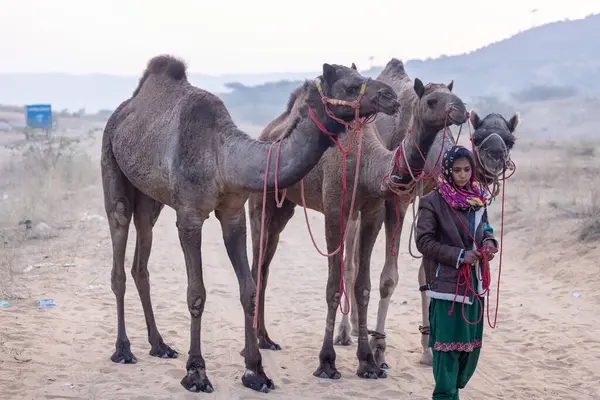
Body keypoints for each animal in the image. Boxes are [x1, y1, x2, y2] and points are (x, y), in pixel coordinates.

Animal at [101, 54, 400, 394]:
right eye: (351, 86)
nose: (390, 96)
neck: (224, 158)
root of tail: (125, 110)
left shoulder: (233, 212)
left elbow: (249, 289)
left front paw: (255, 372)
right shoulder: (190, 215)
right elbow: (196, 293)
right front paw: (197, 372)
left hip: (150, 198)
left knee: (141, 257)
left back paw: (160, 345)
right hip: (111, 164)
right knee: (118, 243)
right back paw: (123, 349)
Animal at [246, 59, 466, 382]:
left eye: (455, 96)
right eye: (431, 100)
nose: (461, 109)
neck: (368, 165)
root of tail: (268, 133)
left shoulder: (373, 211)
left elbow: (363, 286)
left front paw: (368, 363)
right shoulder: (335, 209)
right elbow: (333, 286)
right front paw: (327, 362)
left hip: (283, 206)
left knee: (265, 265)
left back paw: (265, 338)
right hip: (260, 203)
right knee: (256, 265)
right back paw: (254, 344)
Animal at [336, 58, 524, 368]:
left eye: (510, 140)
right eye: (478, 136)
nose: (495, 155)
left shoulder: (428, 197)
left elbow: (428, 272)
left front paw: (428, 347)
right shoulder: (396, 200)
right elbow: (389, 278)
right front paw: (379, 348)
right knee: (349, 259)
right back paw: (344, 332)